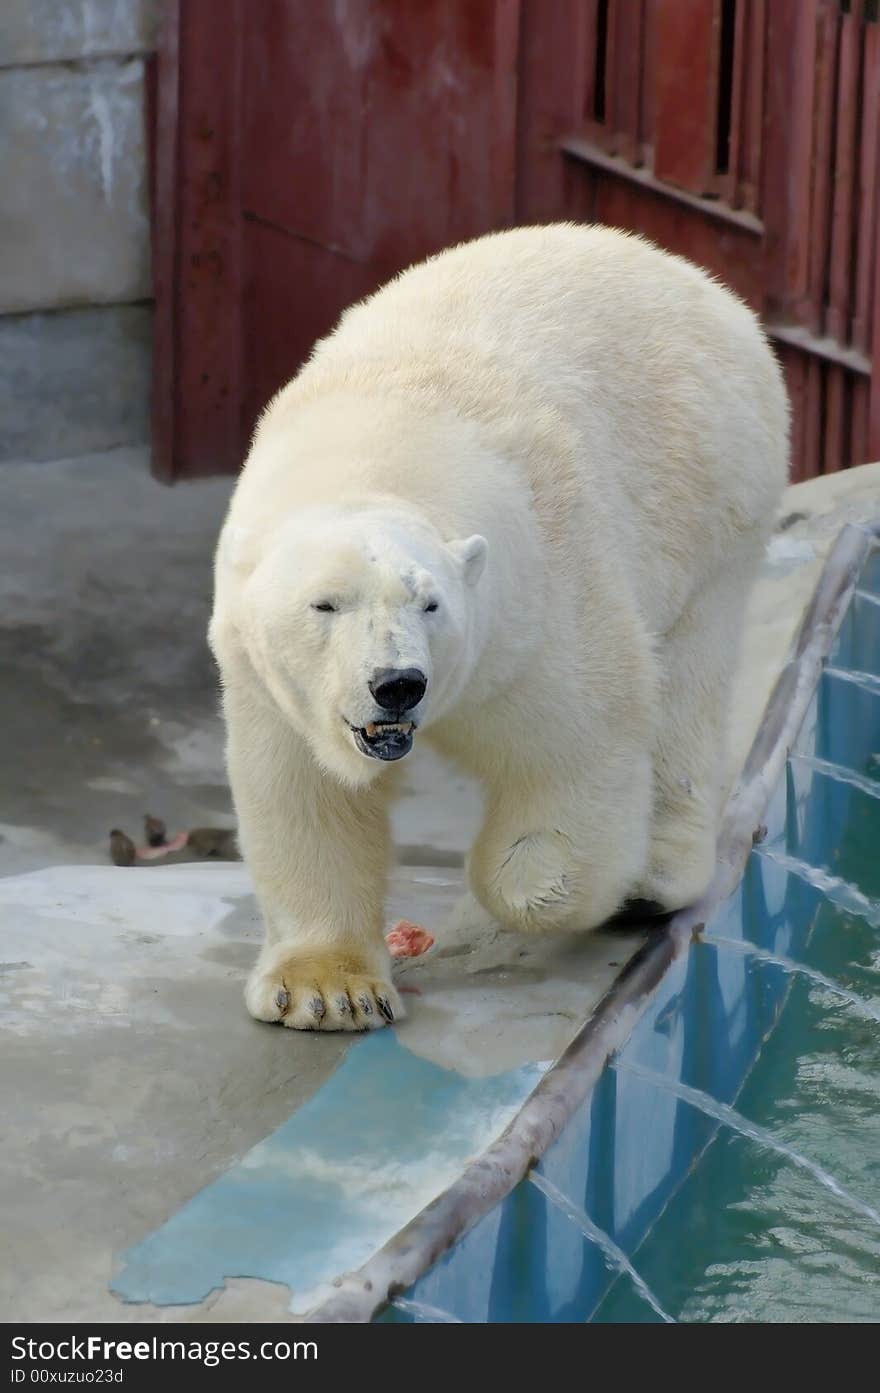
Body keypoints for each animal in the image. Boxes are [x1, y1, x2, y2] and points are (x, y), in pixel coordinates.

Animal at [210, 222, 785, 1036]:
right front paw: (329, 991)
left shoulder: (537, 599)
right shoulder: (273, 678)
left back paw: (652, 881)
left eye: (430, 604)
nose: (397, 684)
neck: (379, 443)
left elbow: (580, 740)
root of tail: (694, 277)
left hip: (716, 499)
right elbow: (306, 792)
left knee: (685, 684)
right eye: (324, 605)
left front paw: (527, 883)